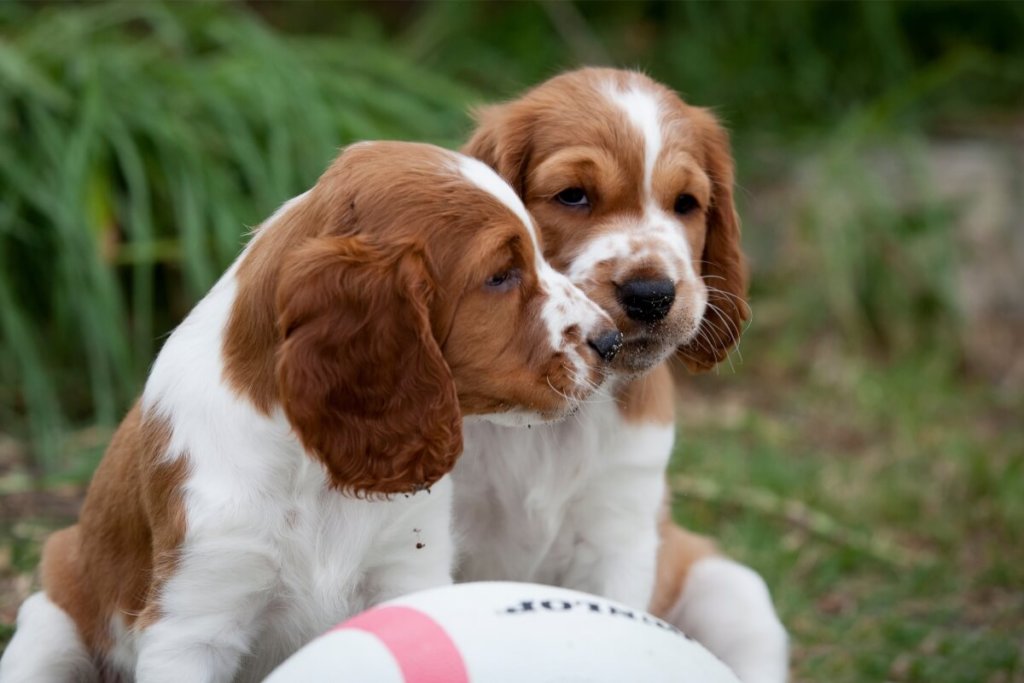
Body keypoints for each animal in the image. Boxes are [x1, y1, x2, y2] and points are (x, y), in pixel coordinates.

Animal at [0, 140, 614, 683]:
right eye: (500, 275)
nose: (611, 341)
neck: (314, 473)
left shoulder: (406, 572)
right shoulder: (194, 624)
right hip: (49, 625)